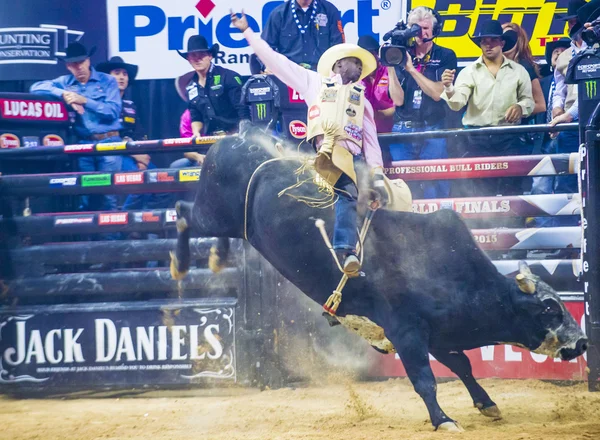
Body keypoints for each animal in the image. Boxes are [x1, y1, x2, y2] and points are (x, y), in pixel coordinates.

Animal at [171, 131, 588, 434]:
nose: (583, 342)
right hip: (213, 211)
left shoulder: (439, 334)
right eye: (549, 308)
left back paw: (215, 256)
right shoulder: (406, 332)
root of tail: (233, 138)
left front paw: (487, 404)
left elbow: (463, 365)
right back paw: (180, 263)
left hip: (231, 222)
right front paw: (444, 420)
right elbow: (425, 380)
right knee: (182, 212)